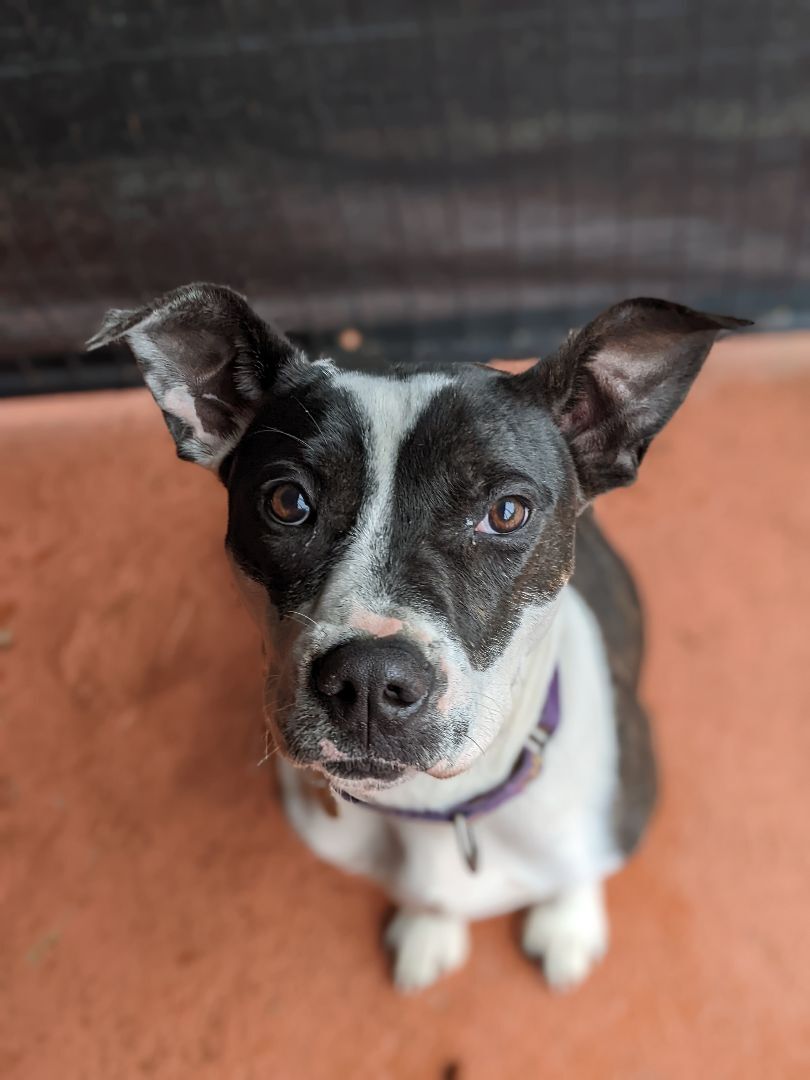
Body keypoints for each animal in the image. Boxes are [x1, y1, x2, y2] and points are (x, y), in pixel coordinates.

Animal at [89, 286, 749, 992]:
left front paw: (568, 922)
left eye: (506, 512)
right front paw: (432, 925)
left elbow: (578, 872)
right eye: (287, 502)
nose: (369, 678)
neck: (442, 810)